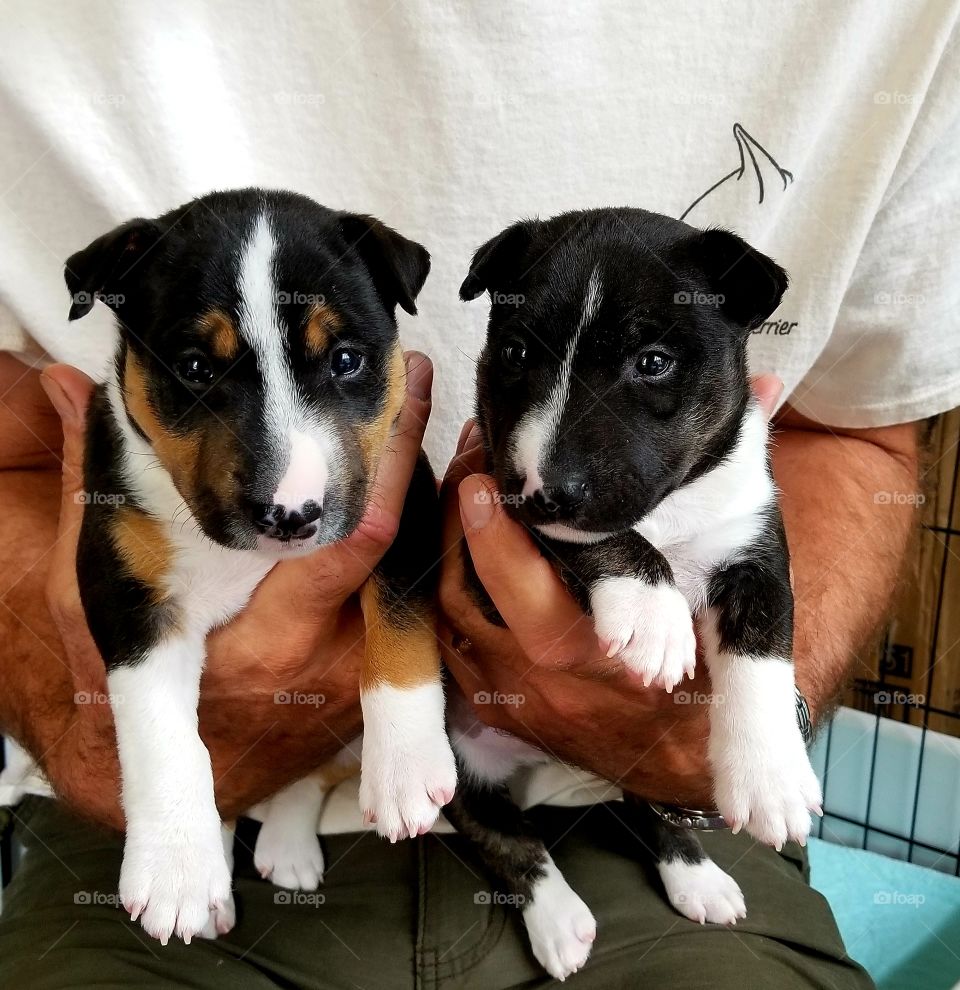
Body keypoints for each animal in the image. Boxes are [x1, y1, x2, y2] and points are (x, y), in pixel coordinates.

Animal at [65, 192, 456, 944]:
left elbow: (398, 625)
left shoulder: (403, 505)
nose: (291, 515)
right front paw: (177, 871)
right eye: (193, 368)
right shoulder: (124, 588)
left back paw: (288, 847)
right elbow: (161, 729)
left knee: (305, 776)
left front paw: (406, 768)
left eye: (345, 359)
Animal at [448, 211, 816, 984]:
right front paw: (653, 613)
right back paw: (559, 921)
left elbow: (764, 653)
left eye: (653, 362)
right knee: (507, 838)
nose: (546, 490)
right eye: (515, 351)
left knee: (652, 805)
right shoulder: (489, 529)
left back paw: (697, 878)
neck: (670, 511)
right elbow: (605, 538)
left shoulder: (756, 548)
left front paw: (770, 776)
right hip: (461, 760)